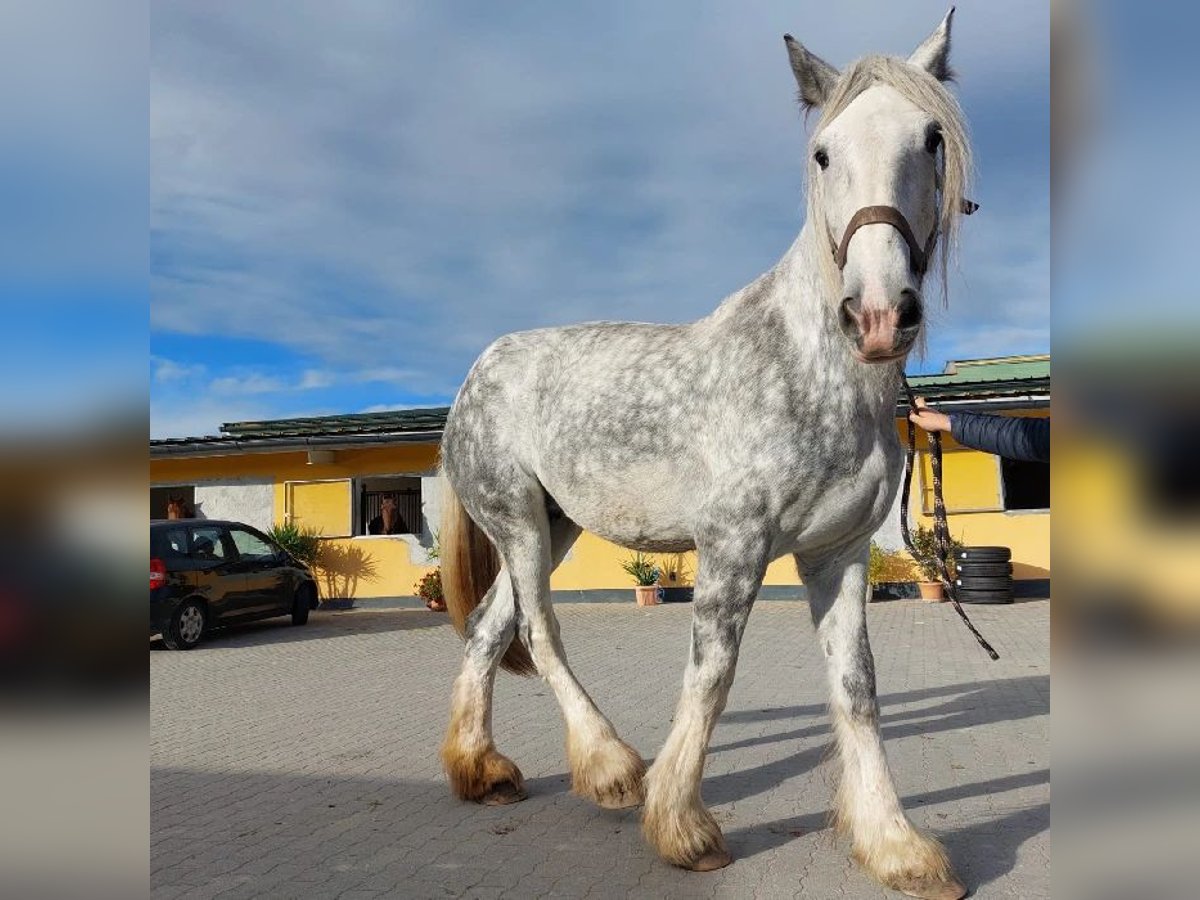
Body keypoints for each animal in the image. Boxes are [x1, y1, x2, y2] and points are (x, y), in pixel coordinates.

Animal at [438, 11, 972, 899]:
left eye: (930, 138)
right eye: (822, 152)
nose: (877, 314)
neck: (808, 369)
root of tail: (477, 373)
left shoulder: (839, 555)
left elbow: (857, 690)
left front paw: (896, 845)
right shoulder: (732, 547)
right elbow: (712, 676)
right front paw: (682, 827)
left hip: (550, 529)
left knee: (486, 630)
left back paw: (482, 771)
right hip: (516, 523)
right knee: (541, 634)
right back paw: (611, 769)